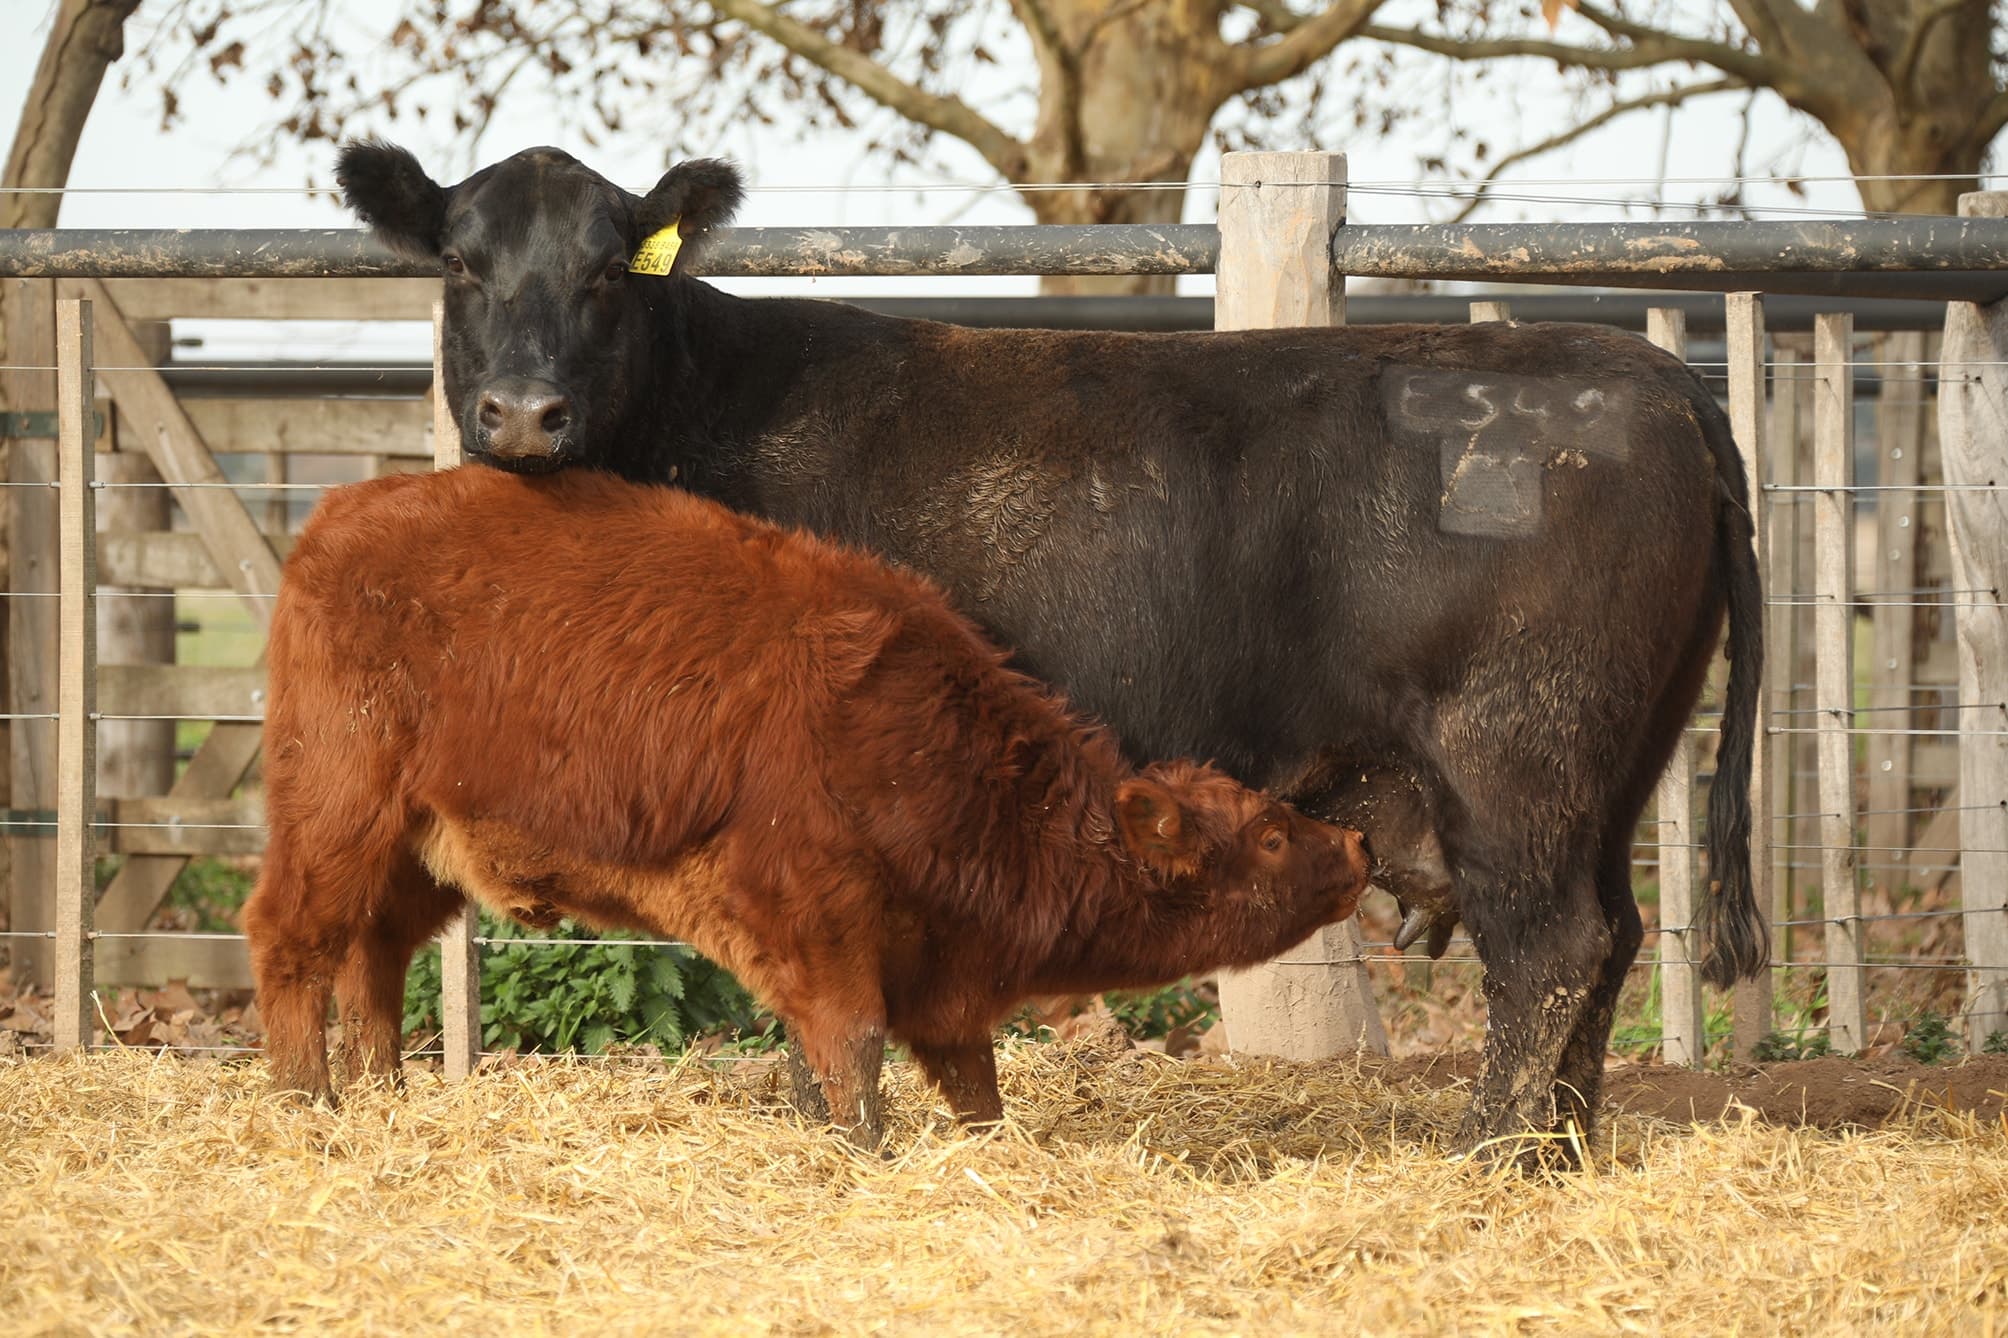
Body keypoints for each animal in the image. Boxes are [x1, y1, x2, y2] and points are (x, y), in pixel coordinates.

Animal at [243, 466, 1372, 1148]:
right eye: (1272, 834)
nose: (1359, 844)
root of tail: (341, 512)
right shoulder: (817, 923)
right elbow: (852, 1049)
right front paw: (863, 1152)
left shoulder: (934, 969)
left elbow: (965, 1073)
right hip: (338, 819)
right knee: (293, 938)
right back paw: (306, 1104)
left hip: (414, 856)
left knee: (374, 960)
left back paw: (383, 1098)